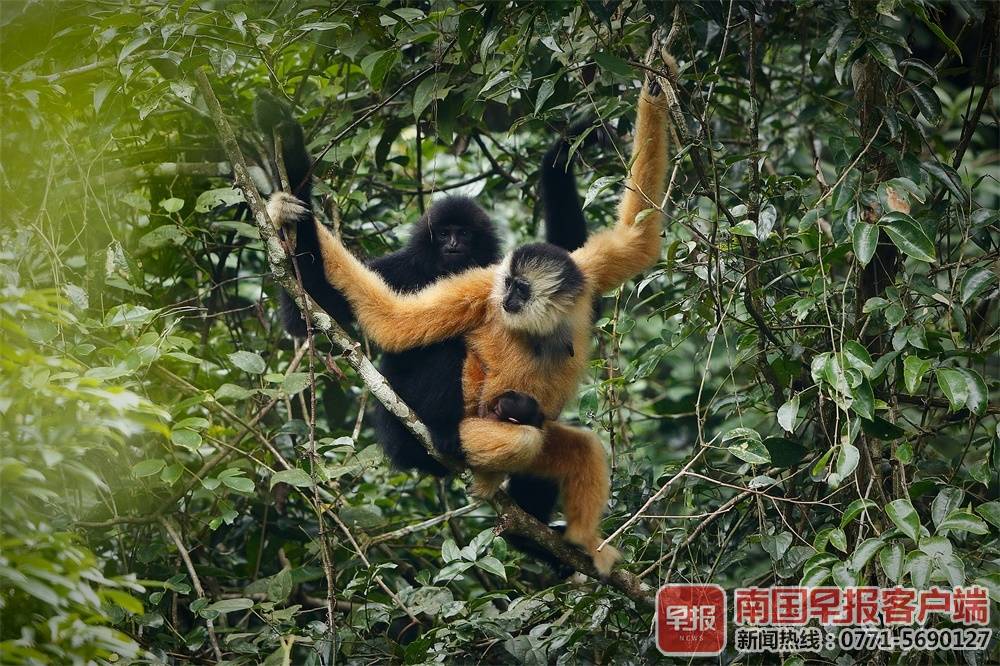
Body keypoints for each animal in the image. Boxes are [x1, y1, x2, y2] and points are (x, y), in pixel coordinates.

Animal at [265, 55, 674, 573]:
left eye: (520, 287)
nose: (506, 298)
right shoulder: (480, 287)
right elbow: (388, 321)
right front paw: (291, 203)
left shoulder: (583, 276)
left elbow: (637, 238)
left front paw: (651, 89)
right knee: (499, 414)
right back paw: (453, 445)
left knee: (575, 447)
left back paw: (571, 541)